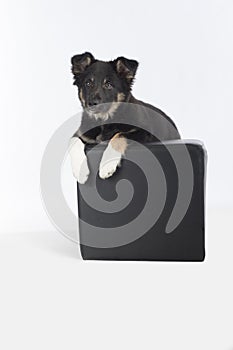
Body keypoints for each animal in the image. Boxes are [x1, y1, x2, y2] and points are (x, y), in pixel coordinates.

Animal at [69, 52, 180, 183]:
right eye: (88, 83)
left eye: (108, 84)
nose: (91, 104)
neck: (104, 122)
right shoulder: (81, 134)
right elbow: (73, 141)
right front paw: (81, 171)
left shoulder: (144, 133)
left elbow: (119, 135)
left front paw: (107, 166)